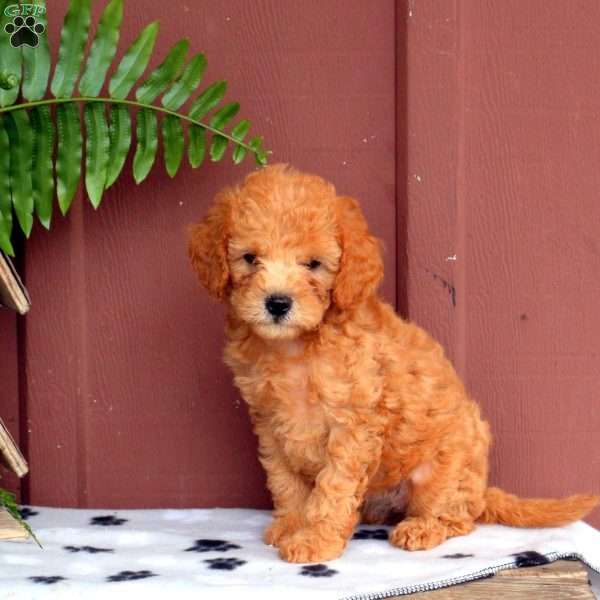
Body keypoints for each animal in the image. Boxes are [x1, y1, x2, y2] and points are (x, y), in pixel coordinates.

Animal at [189, 163, 600, 564]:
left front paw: (315, 541)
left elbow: (332, 488)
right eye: (250, 258)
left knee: (459, 516)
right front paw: (290, 525)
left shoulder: (353, 424)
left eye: (314, 264)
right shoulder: (271, 423)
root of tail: (484, 490)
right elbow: (286, 482)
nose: (277, 303)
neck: (294, 348)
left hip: (442, 472)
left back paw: (423, 528)